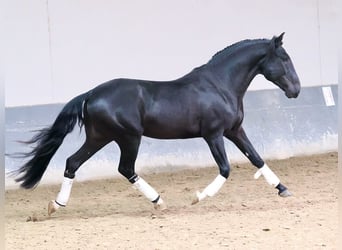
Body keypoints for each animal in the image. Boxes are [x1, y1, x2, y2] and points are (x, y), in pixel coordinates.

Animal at [14, 32, 300, 214]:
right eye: (284, 58)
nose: (295, 91)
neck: (220, 85)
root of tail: (91, 94)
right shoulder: (213, 134)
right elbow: (226, 168)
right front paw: (198, 197)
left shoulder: (234, 130)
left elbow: (257, 159)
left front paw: (283, 189)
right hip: (128, 138)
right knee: (125, 168)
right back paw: (159, 201)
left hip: (100, 137)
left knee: (73, 162)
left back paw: (56, 205)